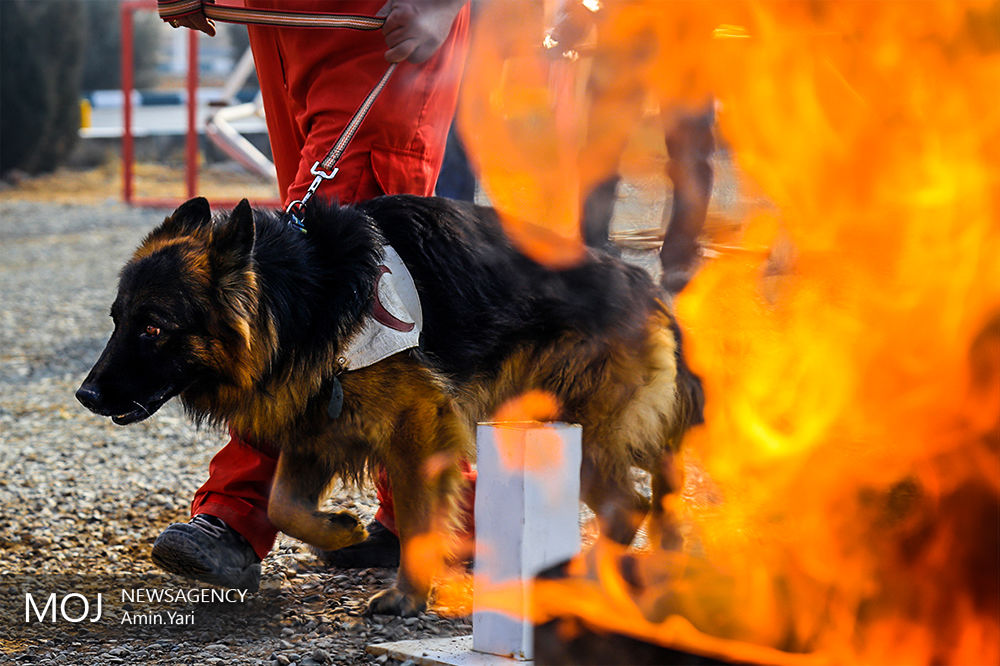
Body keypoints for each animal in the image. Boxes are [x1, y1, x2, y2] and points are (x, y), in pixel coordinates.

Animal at [76, 195, 704, 616]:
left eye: (154, 328)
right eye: (117, 319)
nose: (86, 395)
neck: (302, 296)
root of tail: (644, 284)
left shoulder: (417, 430)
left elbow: (421, 516)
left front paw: (408, 593)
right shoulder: (316, 424)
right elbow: (283, 506)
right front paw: (343, 531)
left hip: (575, 431)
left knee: (628, 505)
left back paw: (593, 576)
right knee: (653, 487)